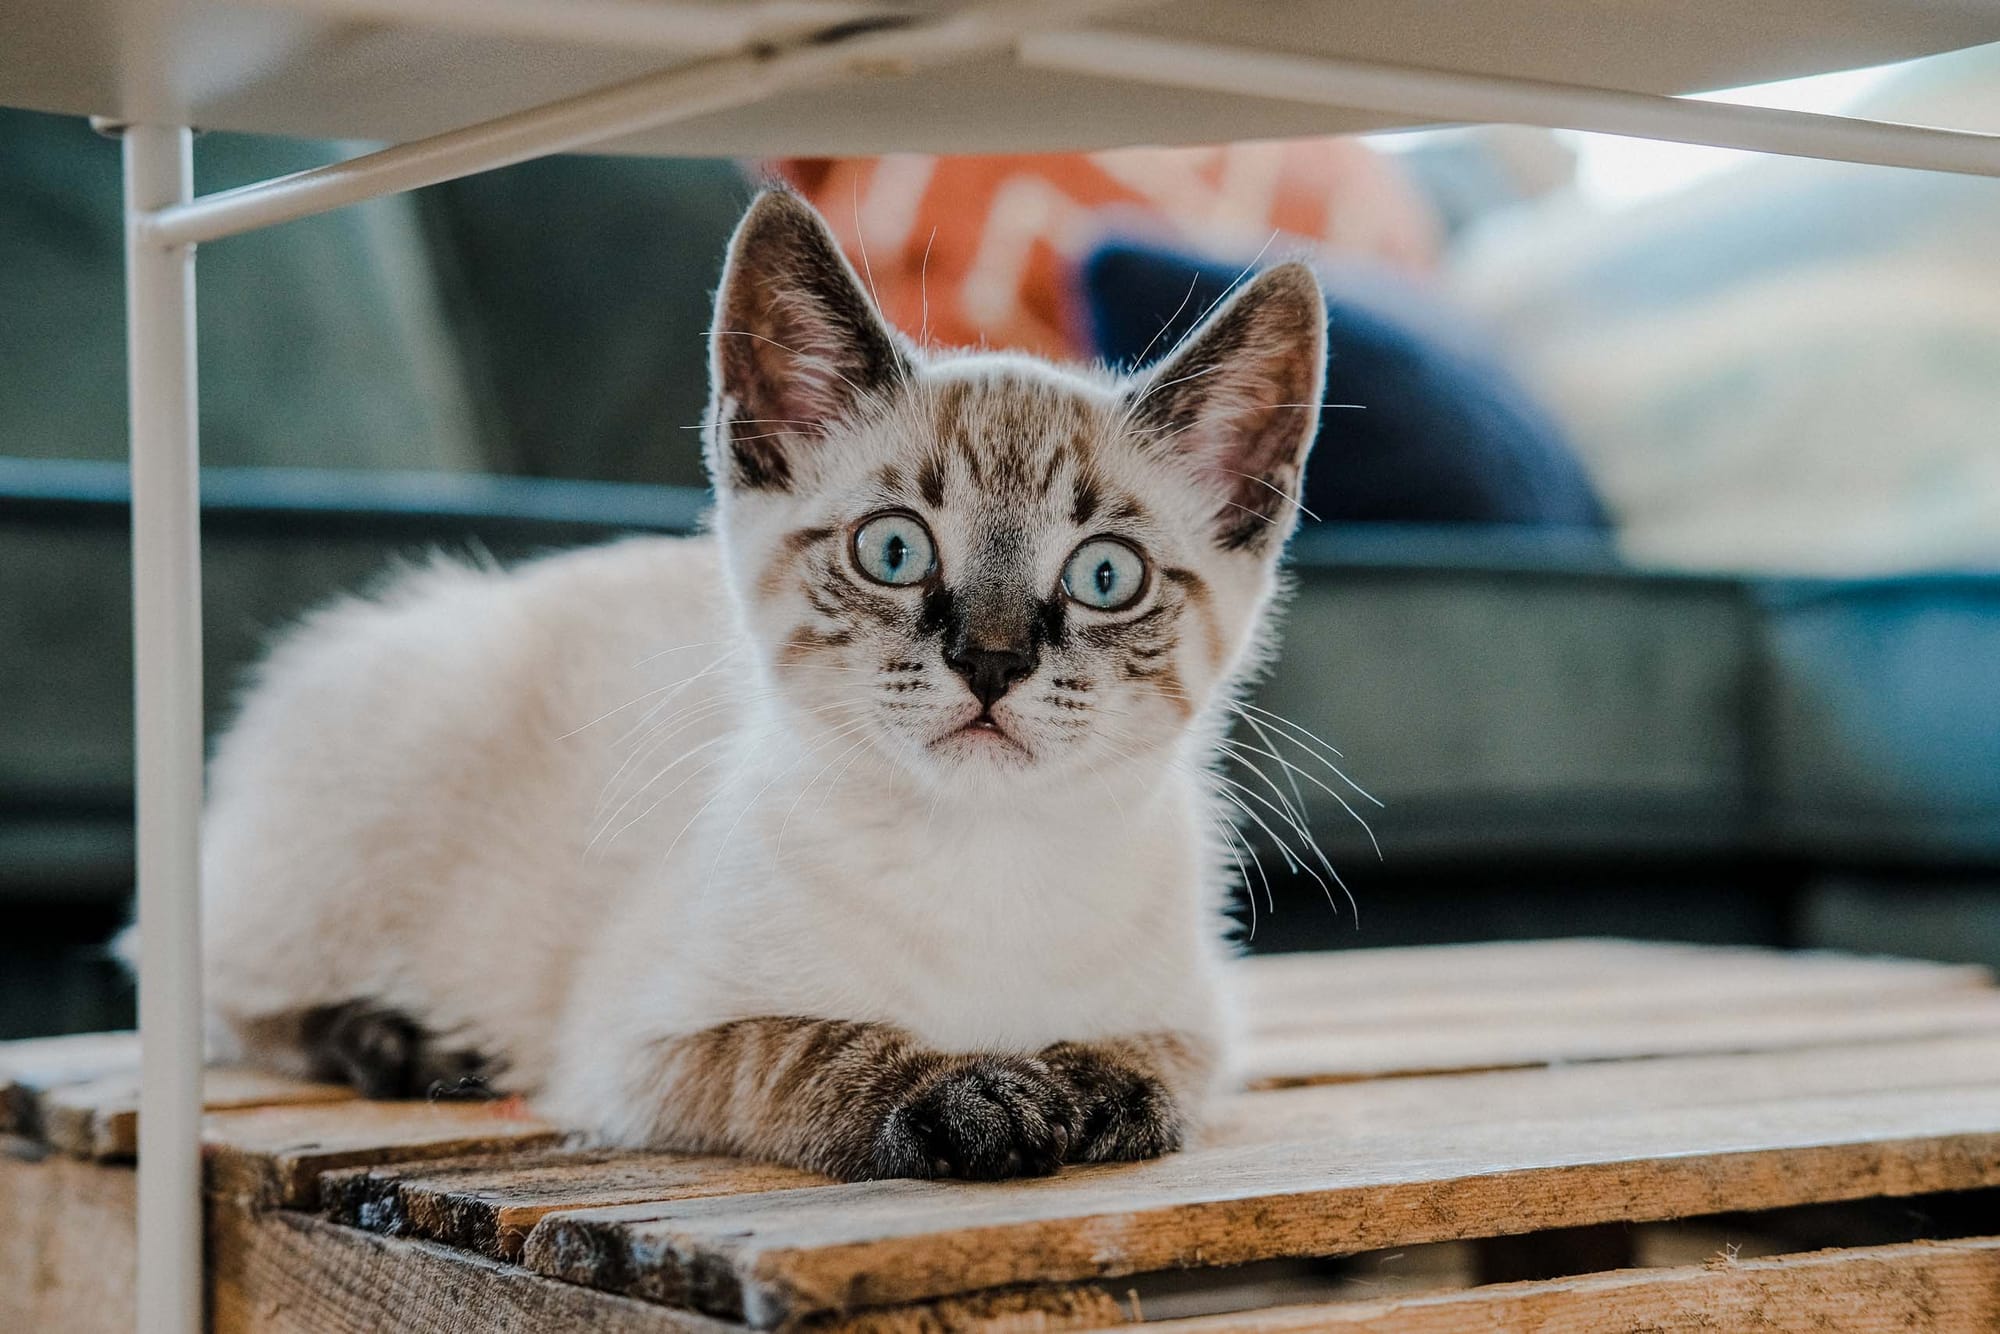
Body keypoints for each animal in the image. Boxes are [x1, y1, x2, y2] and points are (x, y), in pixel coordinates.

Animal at [176, 189, 1327, 1181]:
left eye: (1104, 577)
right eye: (895, 551)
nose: (992, 661)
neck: (982, 857)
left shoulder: (1200, 1018)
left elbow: (1156, 1059)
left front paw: (1096, 1083)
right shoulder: (636, 1046)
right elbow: (801, 1046)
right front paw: (968, 1096)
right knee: (207, 985)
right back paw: (399, 1042)